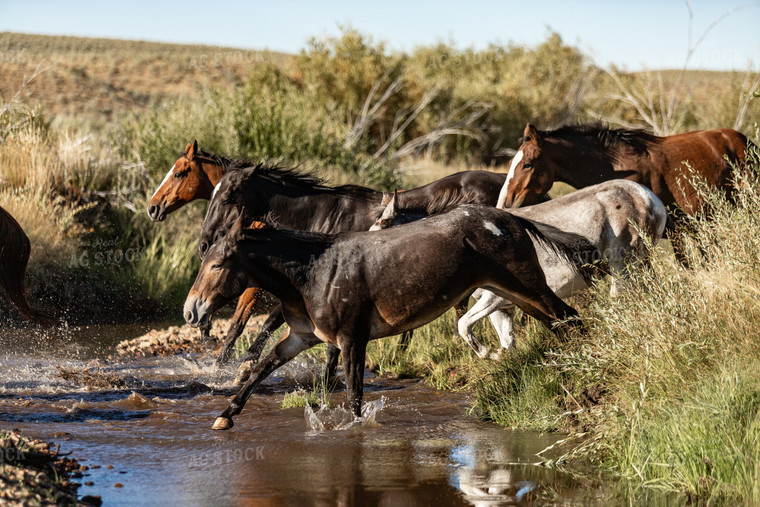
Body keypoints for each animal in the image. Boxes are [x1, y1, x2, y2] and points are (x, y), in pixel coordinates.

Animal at [186, 206, 592, 428]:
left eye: (218, 264)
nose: (191, 311)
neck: (313, 272)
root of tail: (509, 217)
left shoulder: (352, 340)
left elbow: (353, 393)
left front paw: (354, 429)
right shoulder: (301, 338)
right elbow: (261, 368)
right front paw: (226, 414)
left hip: (528, 287)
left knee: (571, 319)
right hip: (516, 296)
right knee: (560, 323)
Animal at [372, 181, 664, 360]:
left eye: (382, 234)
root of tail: (650, 198)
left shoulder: (496, 297)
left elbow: (464, 325)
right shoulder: (505, 308)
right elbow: (509, 344)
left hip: (624, 268)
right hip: (640, 266)